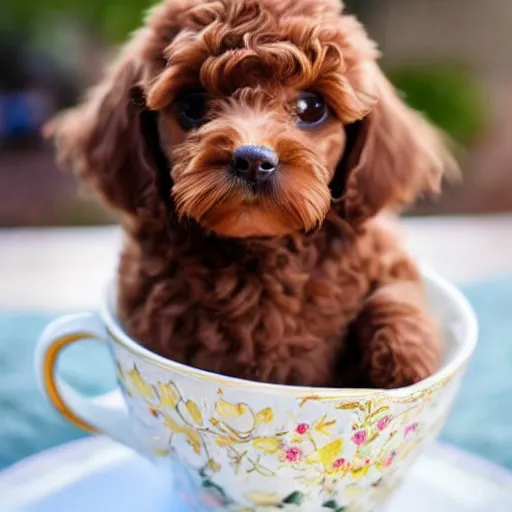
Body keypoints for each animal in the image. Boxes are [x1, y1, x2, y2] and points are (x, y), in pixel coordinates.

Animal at [47, 0, 456, 388]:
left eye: (312, 107)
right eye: (192, 105)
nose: (254, 160)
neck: (260, 247)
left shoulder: (384, 256)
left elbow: (396, 294)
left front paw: (406, 363)